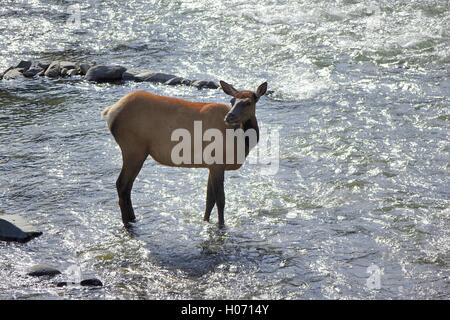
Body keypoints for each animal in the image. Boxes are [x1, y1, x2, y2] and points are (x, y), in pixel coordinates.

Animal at [102, 82, 268, 228]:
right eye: (232, 100)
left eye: (248, 102)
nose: (229, 116)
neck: (241, 142)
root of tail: (110, 112)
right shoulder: (217, 163)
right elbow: (220, 200)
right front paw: (221, 225)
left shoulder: (211, 165)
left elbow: (209, 199)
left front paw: (206, 221)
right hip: (133, 149)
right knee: (122, 184)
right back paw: (127, 222)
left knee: (127, 186)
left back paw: (132, 219)